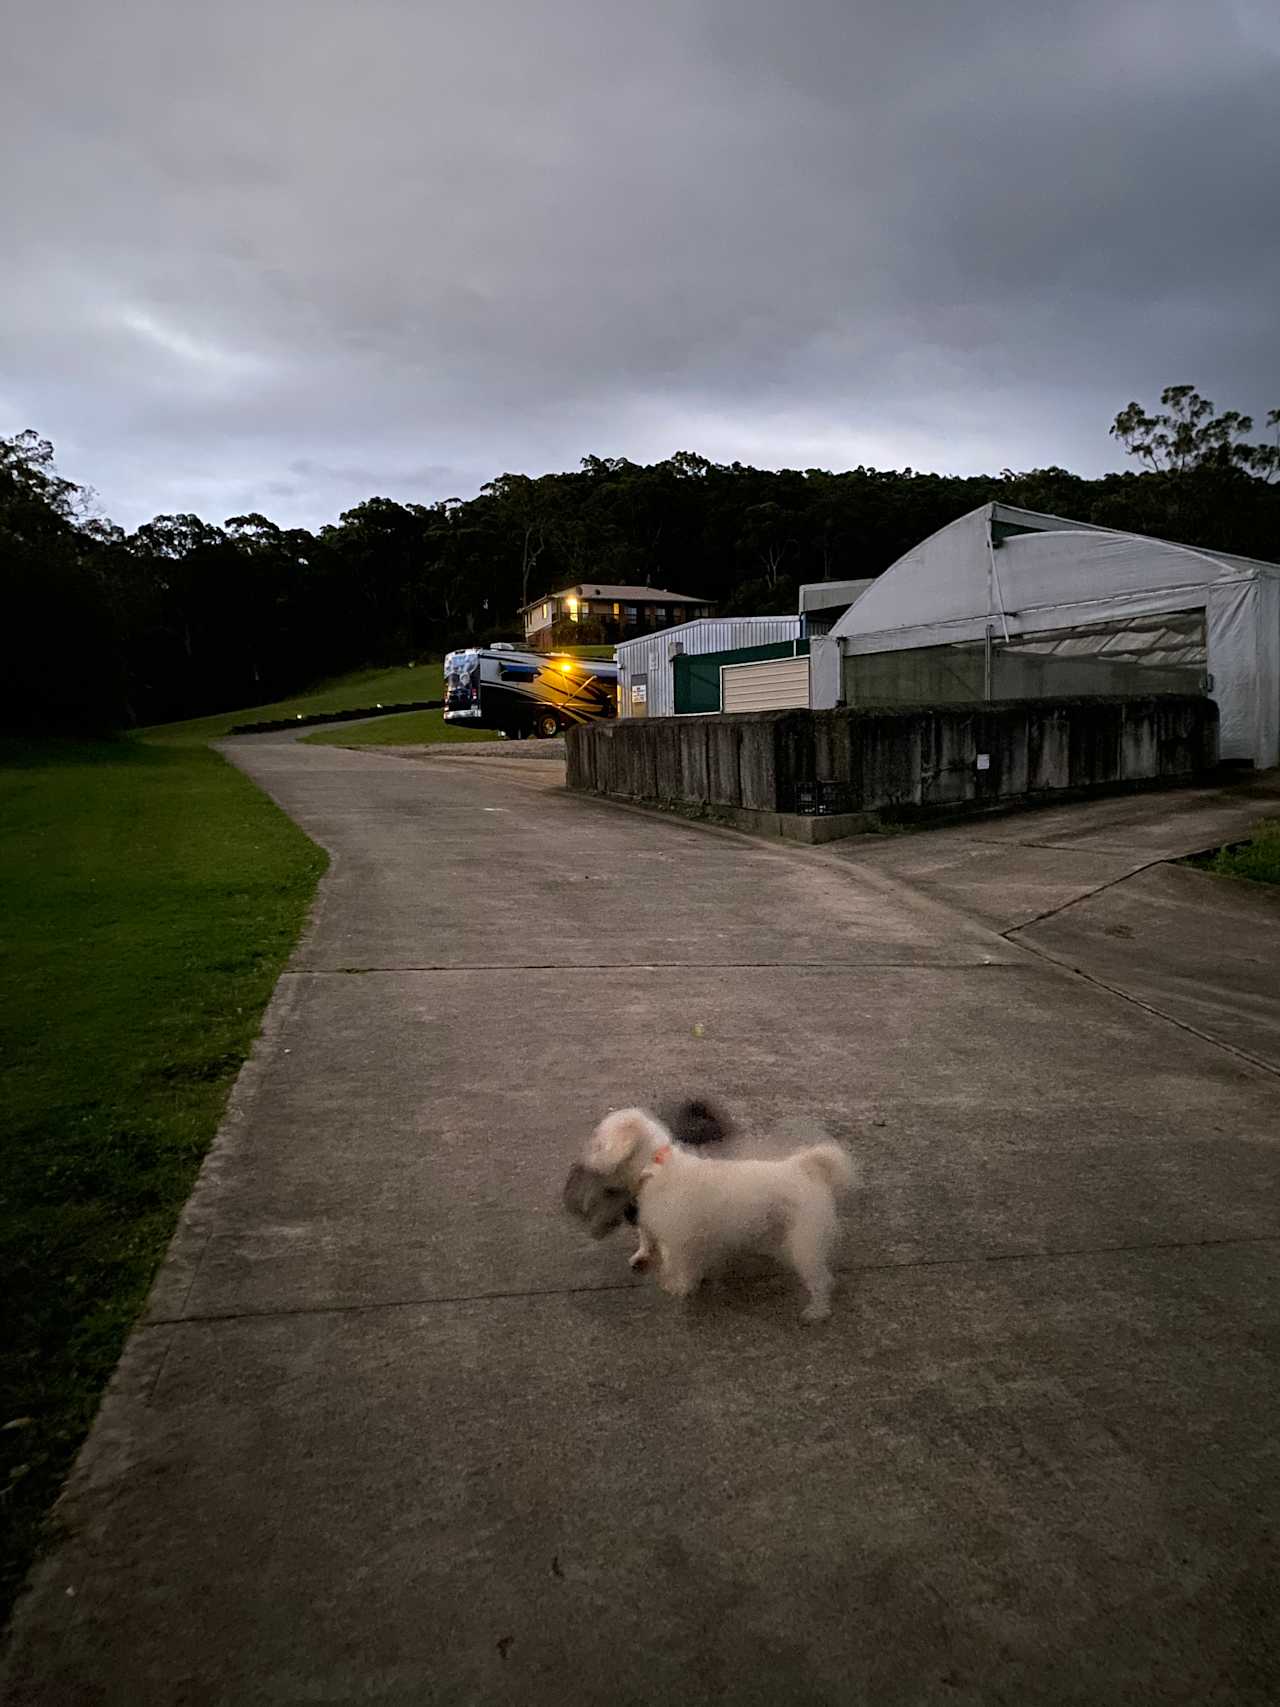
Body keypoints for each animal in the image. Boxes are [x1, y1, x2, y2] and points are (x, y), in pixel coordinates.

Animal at [587, 1106, 856, 1317]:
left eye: (599, 1144)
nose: (587, 1163)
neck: (655, 1166)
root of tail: (805, 1168)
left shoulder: (681, 1240)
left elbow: (683, 1268)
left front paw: (680, 1288)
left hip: (805, 1242)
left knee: (822, 1279)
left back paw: (817, 1311)